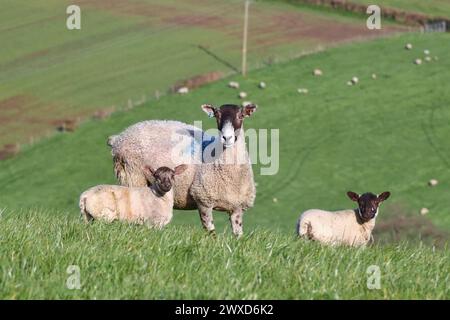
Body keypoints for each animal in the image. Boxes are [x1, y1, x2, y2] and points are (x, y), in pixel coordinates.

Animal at [107, 104, 258, 236]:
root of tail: (119, 138)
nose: (227, 138)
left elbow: (238, 235)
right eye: (217, 115)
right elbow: (211, 233)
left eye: (241, 115)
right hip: (132, 176)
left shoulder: (237, 207)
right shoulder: (203, 199)